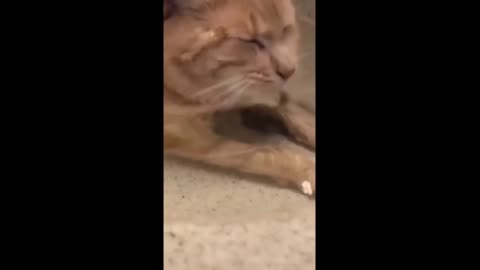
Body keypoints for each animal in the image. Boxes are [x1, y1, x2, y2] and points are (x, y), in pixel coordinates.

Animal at [163, 0, 316, 195]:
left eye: (285, 29)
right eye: (251, 41)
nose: (289, 72)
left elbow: (291, 109)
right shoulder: (190, 136)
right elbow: (261, 153)